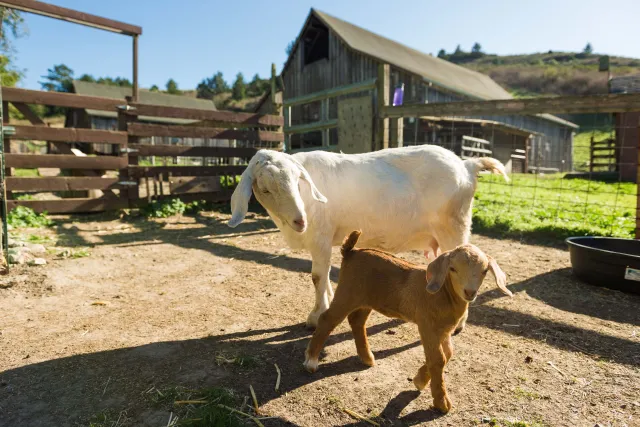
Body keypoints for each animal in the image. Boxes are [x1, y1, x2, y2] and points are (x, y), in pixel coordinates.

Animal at [227, 145, 508, 329]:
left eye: (298, 181)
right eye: (265, 188)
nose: (300, 220)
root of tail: (467, 165)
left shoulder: (320, 236)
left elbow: (317, 277)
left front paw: (315, 316)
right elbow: (325, 277)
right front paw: (328, 303)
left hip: (454, 226)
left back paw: (459, 324)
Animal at [304, 230, 512, 413]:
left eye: (484, 271)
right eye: (452, 269)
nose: (469, 292)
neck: (445, 293)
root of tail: (351, 251)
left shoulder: (444, 330)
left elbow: (448, 354)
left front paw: (420, 379)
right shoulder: (427, 326)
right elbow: (438, 359)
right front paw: (441, 403)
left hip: (367, 299)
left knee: (357, 320)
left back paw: (367, 357)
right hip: (348, 292)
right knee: (327, 319)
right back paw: (311, 361)